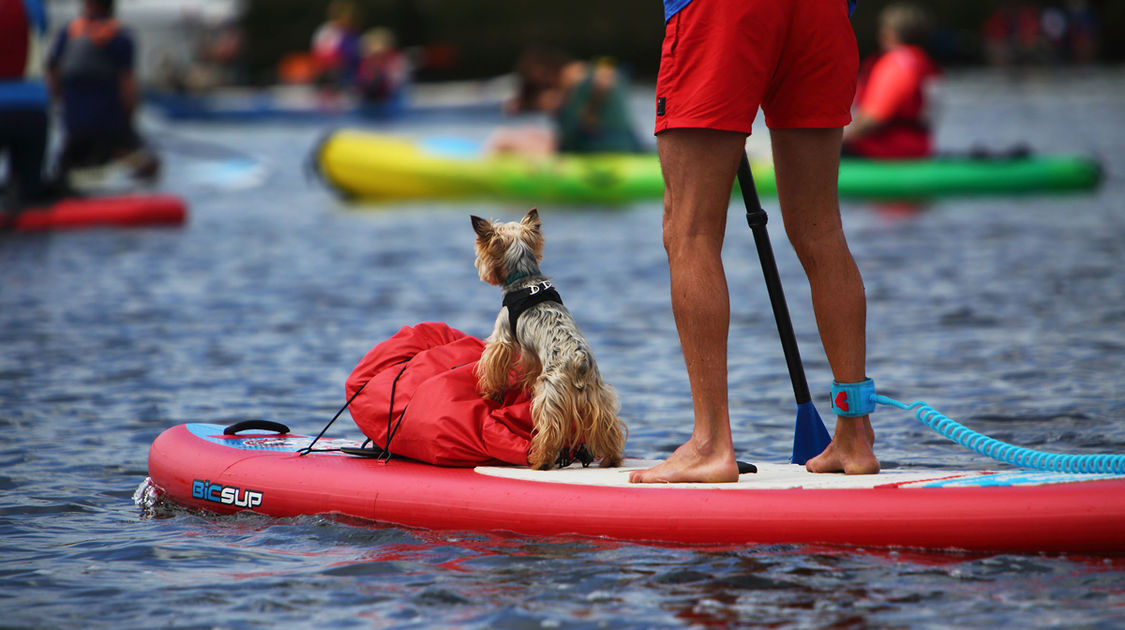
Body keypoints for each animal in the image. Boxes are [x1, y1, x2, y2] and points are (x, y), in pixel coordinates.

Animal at [472, 209, 630, 470]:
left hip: (550, 397)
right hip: (597, 398)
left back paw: (540, 461)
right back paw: (611, 459)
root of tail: (578, 360)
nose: (482, 270)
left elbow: (495, 363)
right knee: (607, 427)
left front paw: (491, 394)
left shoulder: (503, 336)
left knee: (549, 430)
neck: (525, 276)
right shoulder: (533, 356)